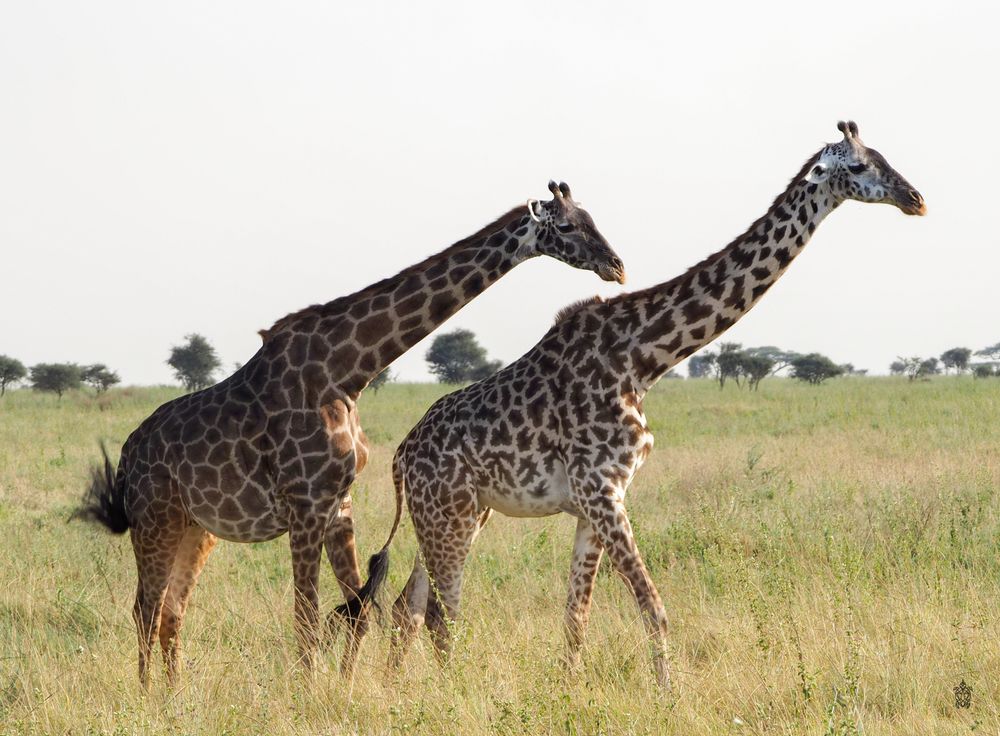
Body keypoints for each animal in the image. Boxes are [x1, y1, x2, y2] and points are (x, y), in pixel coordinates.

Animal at [76, 181, 626, 688]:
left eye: (593, 217)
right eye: (568, 226)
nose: (616, 265)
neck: (347, 372)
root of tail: (127, 458)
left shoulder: (339, 503)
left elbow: (357, 612)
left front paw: (343, 690)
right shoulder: (303, 503)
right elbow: (306, 617)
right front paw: (308, 696)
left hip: (197, 529)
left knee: (171, 612)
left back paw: (174, 697)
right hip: (156, 521)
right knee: (145, 610)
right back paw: (150, 700)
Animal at [372, 122, 924, 689]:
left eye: (884, 156)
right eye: (857, 167)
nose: (915, 199)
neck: (643, 358)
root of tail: (400, 457)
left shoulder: (599, 499)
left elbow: (576, 618)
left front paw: (571, 691)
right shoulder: (601, 490)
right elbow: (653, 609)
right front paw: (668, 694)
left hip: (454, 513)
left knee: (408, 607)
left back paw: (399, 688)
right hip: (451, 513)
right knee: (440, 614)